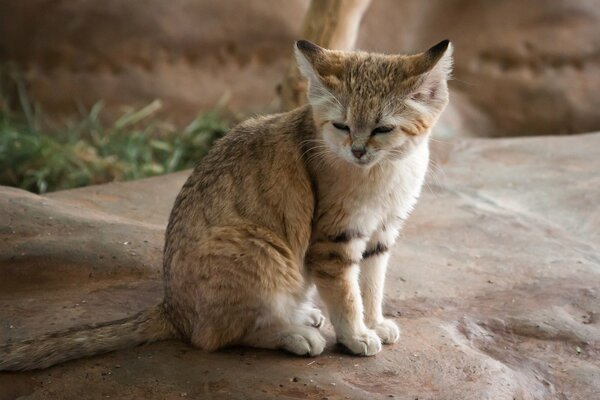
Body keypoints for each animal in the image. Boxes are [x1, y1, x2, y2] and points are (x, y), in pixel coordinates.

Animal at [0, 39, 452, 370]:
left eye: (382, 129)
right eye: (341, 125)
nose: (357, 151)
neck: (389, 170)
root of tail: (172, 310)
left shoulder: (381, 233)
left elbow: (371, 286)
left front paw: (374, 322)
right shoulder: (334, 240)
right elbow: (346, 294)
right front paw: (356, 335)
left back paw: (301, 316)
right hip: (260, 249)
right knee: (215, 337)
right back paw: (294, 334)